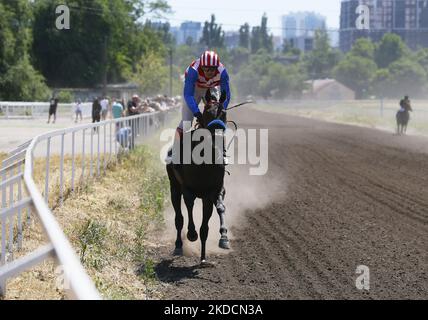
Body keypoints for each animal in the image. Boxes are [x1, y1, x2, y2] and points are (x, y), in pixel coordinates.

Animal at [166, 88, 229, 262]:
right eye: (207, 112)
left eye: (223, 113)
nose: (217, 134)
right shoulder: (188, 189)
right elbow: (188, 207)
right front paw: (192, 234)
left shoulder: (213, 191)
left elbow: (216, 213)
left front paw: (223, 238)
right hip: (174, 186)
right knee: (179, 218)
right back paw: (179, 245)